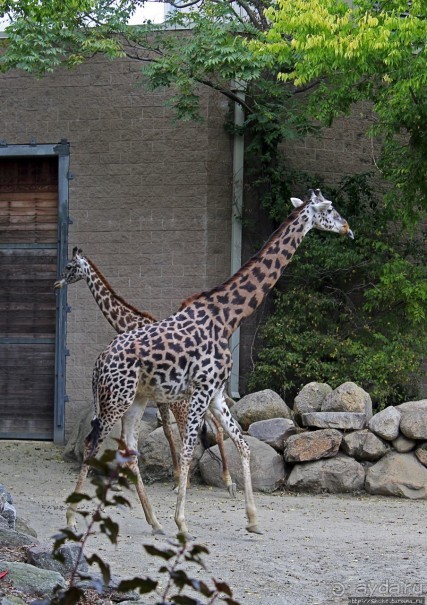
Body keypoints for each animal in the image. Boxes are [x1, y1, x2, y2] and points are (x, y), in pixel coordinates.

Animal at [54, 245, 237, 496]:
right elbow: (167, 432)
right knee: (216, 427)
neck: (130, 323)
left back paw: (211, 481)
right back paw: (227, 480)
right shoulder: (158, 397)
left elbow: (169, 432)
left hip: (187, 400)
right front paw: (175, 475)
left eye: (69, 266)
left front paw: (179, 479)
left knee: (197, 430)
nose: (57, 282)